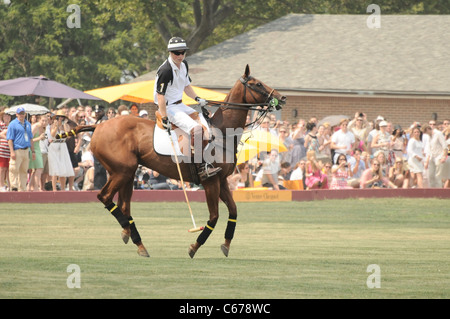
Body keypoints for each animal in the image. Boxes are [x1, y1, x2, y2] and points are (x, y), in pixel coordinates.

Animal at [59, 65, 284, 258]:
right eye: (256, 84)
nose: (282, 98)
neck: (222, 132)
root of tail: (98, 126)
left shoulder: (221, 181)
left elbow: (234, 210)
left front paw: (226, 244)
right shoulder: (210, 181)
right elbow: (214, 217)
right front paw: (194, 246)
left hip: (126, 173)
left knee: (124, 205)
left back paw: (134, 239)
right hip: (122, 171)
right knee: (104, 197)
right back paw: (132, 235)